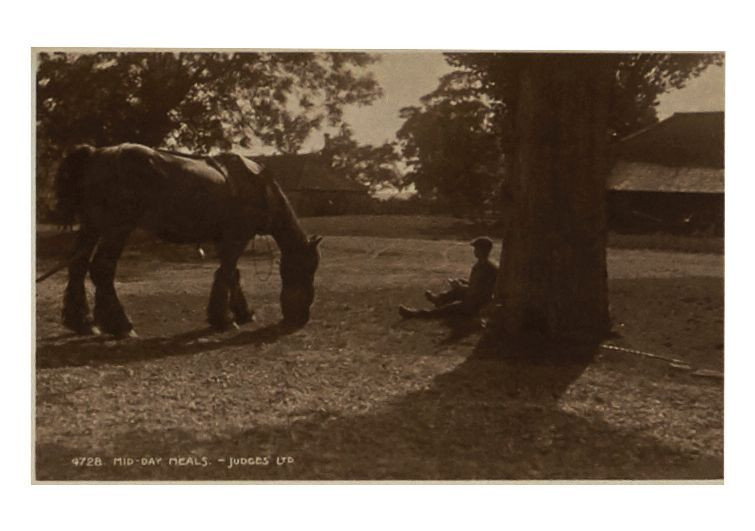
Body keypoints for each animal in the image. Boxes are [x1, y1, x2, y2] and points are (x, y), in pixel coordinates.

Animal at [52, 143, 324, 338]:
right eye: (307, 268)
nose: (300, 318)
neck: (258, 186)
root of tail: (97, 154)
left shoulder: (225, 239)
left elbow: (231, 275)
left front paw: (242, 313)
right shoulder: (237, 237)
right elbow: (226, 273)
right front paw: (224, 319)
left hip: (91, 227)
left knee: (78, 266)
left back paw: (83, 321)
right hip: (117, 229)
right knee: (102, 269)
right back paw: (120, 325)